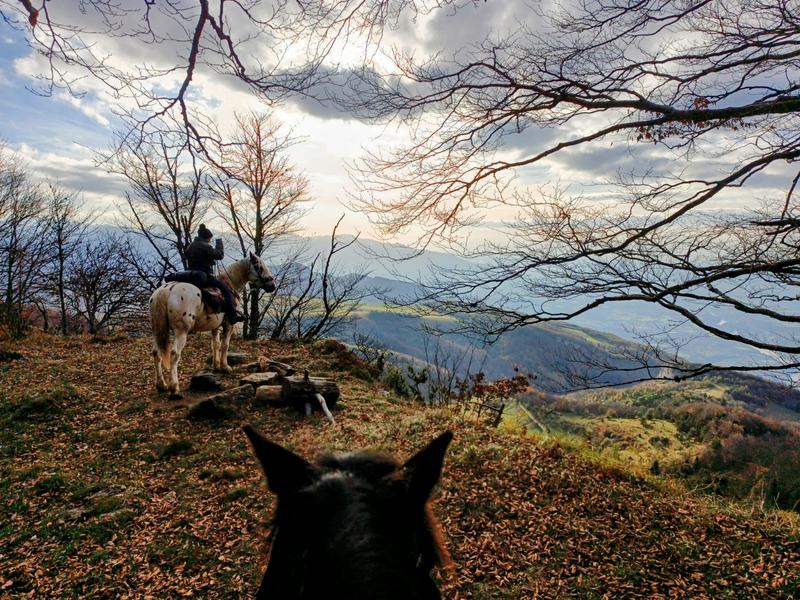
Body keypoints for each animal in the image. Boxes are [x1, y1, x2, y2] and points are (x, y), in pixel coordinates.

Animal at [149, 252, 276, 399]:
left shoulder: (215, 327)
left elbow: (215, 344)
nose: (272, 286)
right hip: (181, 331)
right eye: (259, 266)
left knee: (156, 353)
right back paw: (174, 388)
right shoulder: (228, 324)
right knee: (174, 354)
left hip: (157, 330)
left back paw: (161, 385)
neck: (230, 283)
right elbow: (225, 345)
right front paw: (225, 367)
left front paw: (216, 366)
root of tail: (164, 292)